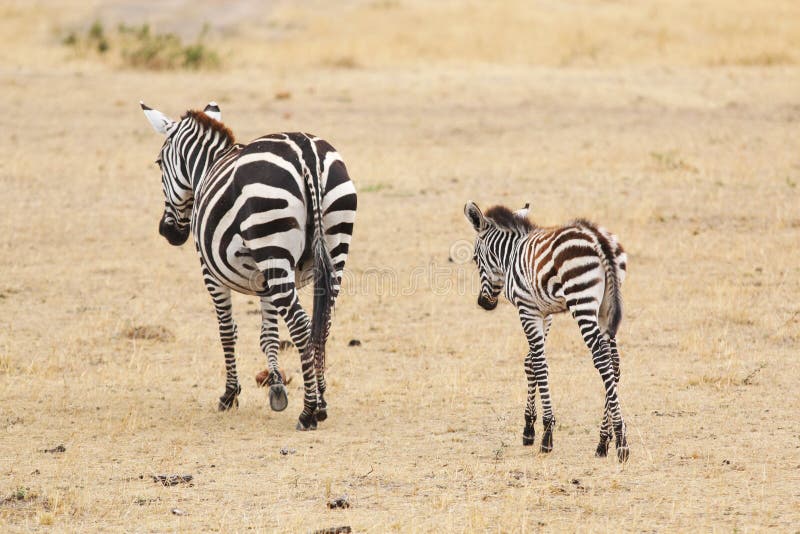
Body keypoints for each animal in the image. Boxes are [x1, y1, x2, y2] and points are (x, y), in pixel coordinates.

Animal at [140, 100, 357, 431]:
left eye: (158, 163)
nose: (169, 233)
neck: (208, 167)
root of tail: (306, 151)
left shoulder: (210, 272)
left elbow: (227, 331)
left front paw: (230, 395)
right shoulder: (265, 280)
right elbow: (269, 334)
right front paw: (277, 387)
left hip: (272, 238)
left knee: (301, 324)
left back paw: (308, 412)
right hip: (331, 244)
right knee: (323, 324)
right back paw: (321, 402)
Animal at [463, 201, 629, 461]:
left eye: (474, 258)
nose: (484, 303)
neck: (510, 256)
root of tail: (599, 238)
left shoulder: (527, 309)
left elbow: (540, 365)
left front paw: (546, 435)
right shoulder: (545, 313)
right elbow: (531, 361)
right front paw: (529, 428)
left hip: (581, 300)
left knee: (602, 360)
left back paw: (621, 440)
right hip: (606, 307)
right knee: (614, 363)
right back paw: (603, 440)